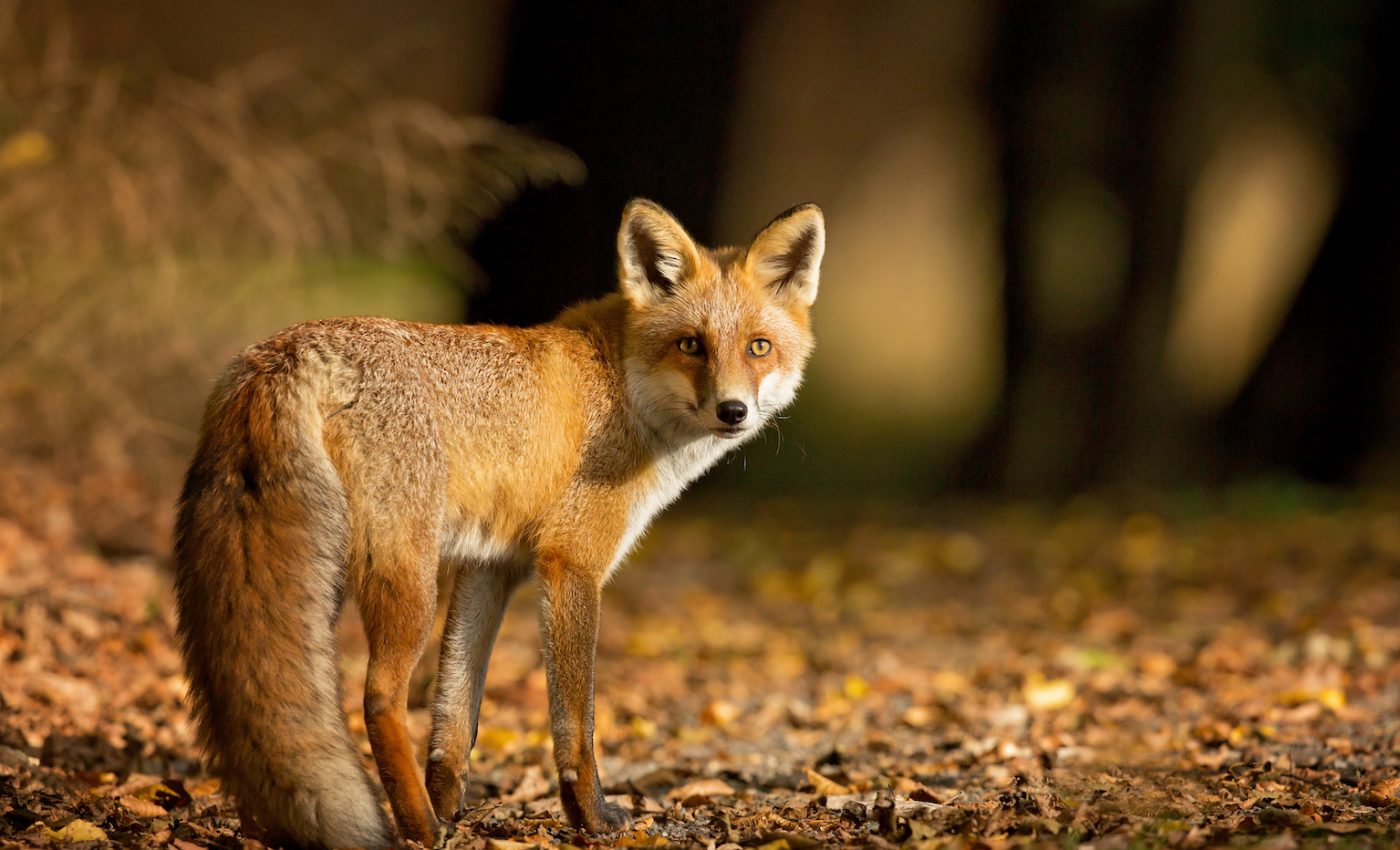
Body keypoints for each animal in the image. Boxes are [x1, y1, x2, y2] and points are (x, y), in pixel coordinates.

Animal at [173, 198, 824, 848]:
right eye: (691, 345)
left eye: (758, 347)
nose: (733, 411)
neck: (620, 387)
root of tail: (287, 351)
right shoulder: (570, 562)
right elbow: (576, 722)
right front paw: (590, 817)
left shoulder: (490, 566)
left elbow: (456, 716)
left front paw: (451, 803)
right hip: (405, 578)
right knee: (379, 698)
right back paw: (417, 828)